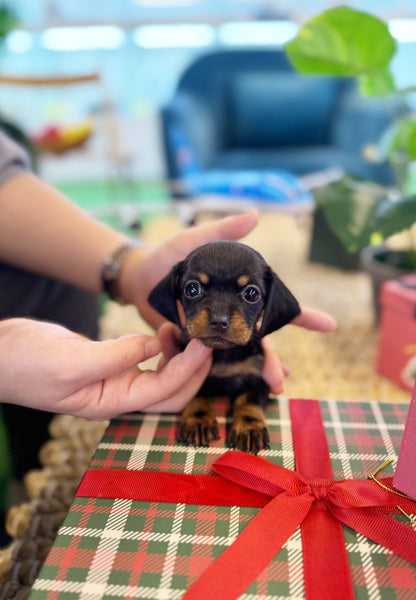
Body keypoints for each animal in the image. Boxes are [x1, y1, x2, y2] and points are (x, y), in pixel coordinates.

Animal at [148, 241, 300, 452]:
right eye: (192, 289)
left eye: (251, 293)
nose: (219, 321)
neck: (223, 354)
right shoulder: (189, 377)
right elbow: (195, 396)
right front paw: (198, 420)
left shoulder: (257, 378)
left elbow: (249, 401)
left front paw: (249, 426)